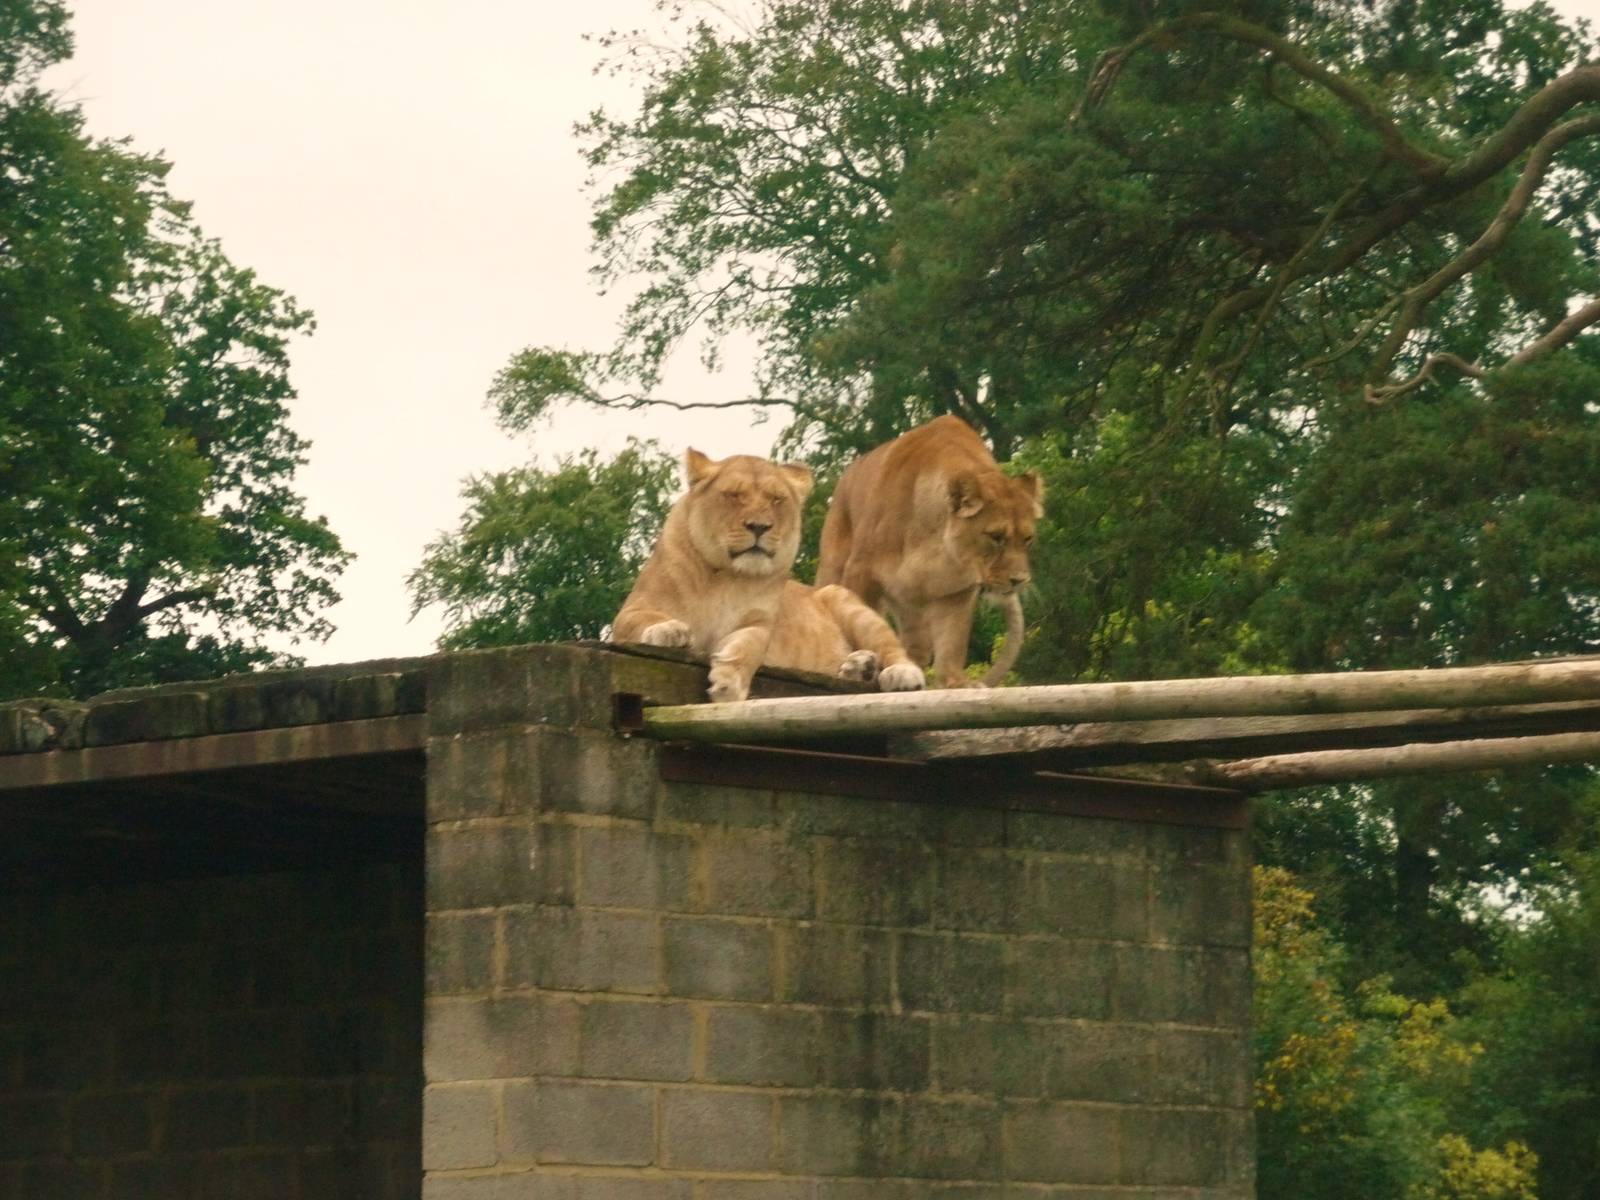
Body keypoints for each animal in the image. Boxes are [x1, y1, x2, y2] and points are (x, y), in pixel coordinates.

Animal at [612, 448, 927, 703]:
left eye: (776, 499)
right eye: (734, 495)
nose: (759, 526)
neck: (725, 577)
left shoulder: (759, 624)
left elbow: (747, 648)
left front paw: (729, 685)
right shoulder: (630, 611)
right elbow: (643, 619)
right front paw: (669, 630)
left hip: (844, 600)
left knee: (893, 648)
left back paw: (897, 673)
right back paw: (860, 667)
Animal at [816, 415, 1043, 689]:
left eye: (1027, 539)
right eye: (996, 537)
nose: (1019, 580)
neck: (939, 547)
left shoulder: (957, 591)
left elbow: (952, 642)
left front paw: (955, 683)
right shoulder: (862, 571)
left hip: (912, 609)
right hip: (833, 566)